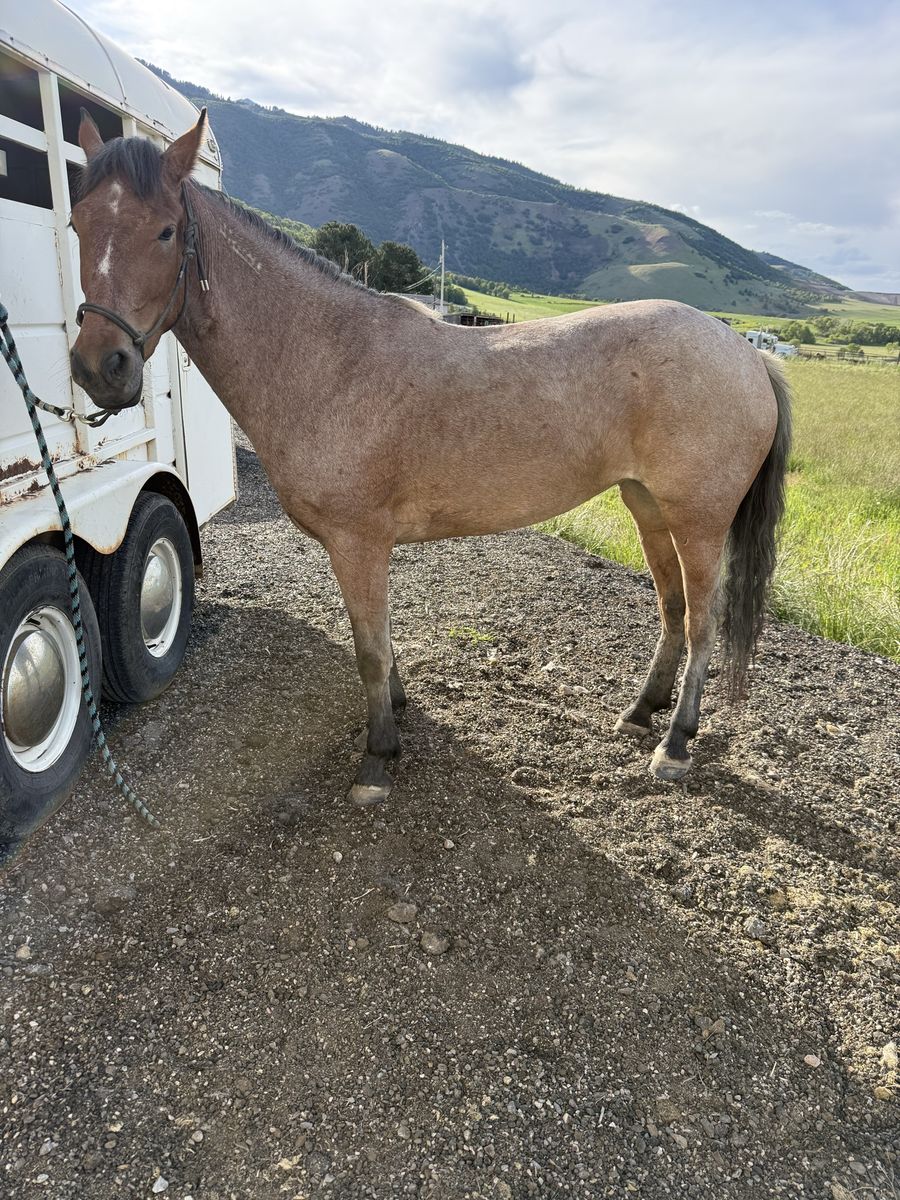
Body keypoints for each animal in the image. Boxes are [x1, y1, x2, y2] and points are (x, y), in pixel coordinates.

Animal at [69, 110, 791, 806]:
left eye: (165, 232)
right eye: (77, 223)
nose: (100, 367)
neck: (328, 359)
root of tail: (746, 354)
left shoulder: (358, 542)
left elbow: (368, 649)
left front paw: (377, 759)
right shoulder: (362, 548)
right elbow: (381, 641)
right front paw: (397, 714)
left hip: (698, 521)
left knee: (701, 624)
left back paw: (675, 744)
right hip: (647, 505)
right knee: (673, 611)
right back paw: (642, 713)